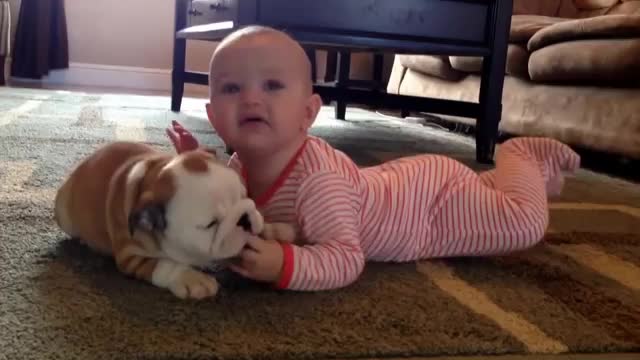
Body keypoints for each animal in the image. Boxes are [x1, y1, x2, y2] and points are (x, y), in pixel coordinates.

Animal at [53, 142, 296, 300]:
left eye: (245, 196)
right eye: (210, 225)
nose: (244, 219)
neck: (151, 180)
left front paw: (277, 229)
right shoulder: (130, 255)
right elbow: (165, 264)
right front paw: (191, 279)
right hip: (63, 213)